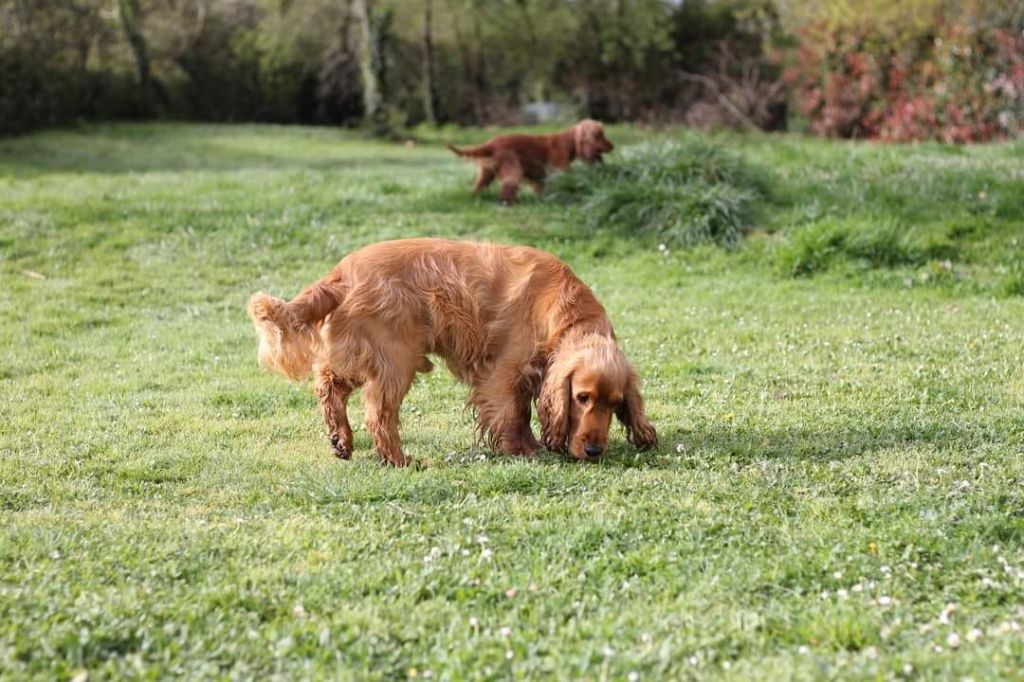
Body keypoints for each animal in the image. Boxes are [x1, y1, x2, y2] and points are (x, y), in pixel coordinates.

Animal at [245, 236, 655, 464]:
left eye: (615, 403)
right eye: (582, 398)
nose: (595, 451)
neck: (565, 311)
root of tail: (340, 273)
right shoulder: (503, 372)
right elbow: (514, 415)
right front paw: (524, 450)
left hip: (363, 352)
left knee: (328, 384)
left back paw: (341, 439)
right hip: (396, 360)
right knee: (378, 415)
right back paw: (400, 460)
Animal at [446, 118, 610, 202]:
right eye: (598, 135)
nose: (612, 146)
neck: (567, 142)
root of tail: (490, 144)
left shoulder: (539, 178)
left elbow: (542, 189)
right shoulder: (558, 171)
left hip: (485, 173)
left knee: (477, 187)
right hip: (513, 169)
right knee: (508, 188)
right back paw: (511, 203)